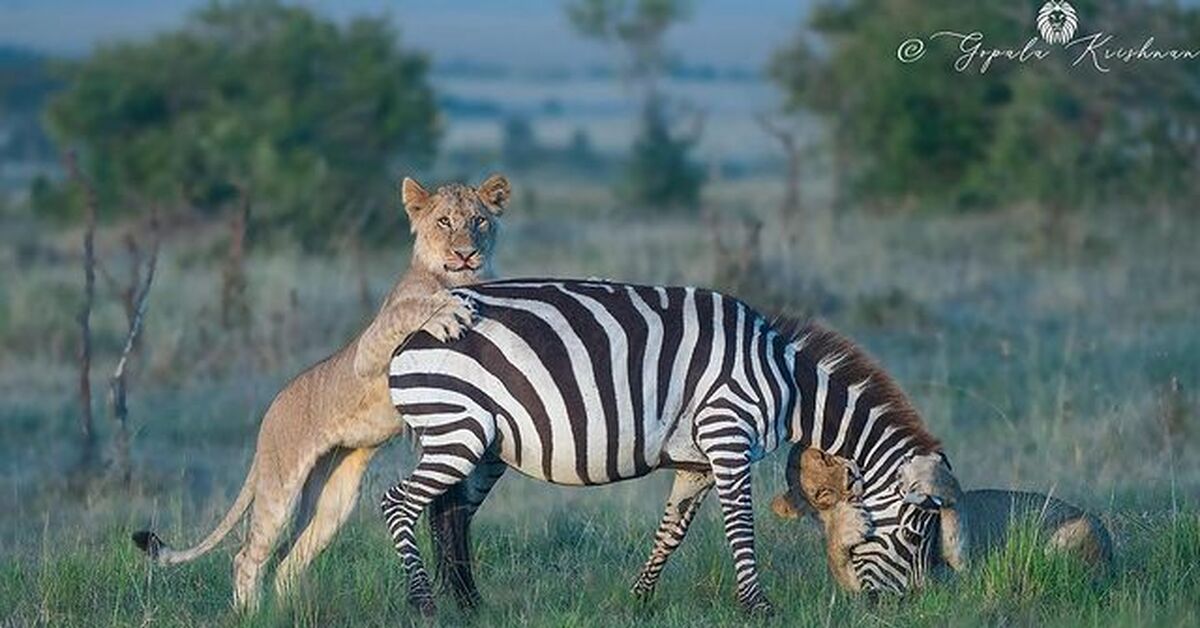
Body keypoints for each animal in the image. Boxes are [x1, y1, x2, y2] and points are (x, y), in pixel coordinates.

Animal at [135, 174, 511, 612]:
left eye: (479, 221)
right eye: (444, 221)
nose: (466, 254)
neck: (461, 279)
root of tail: (271, 411)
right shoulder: (368, 351)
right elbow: (410, 309)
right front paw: (447, 311)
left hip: (335, 500)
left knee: (288, 560)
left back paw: (287, 612)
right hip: (280, 486)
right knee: (248, 555)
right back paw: (250, 614)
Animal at [381, 279, 945, 614]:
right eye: (915, 535)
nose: (915, 607)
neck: (787, 381)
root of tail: (410, 335)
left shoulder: (698, 461)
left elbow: (671, 532)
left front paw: (639, 601)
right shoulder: (727, 435)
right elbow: (741, 528)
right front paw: (757, 608)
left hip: (484, 444)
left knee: (450, 513)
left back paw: (470, 606)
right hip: (458, 430)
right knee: (398, 503)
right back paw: (423, 603)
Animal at [772, 449, 1108, 593]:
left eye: (825, 457)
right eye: (821, 493)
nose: (851, 475)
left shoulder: (964, 570)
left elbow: (954, 507)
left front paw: (924, 470)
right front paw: (846, 525)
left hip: (1079, 529)